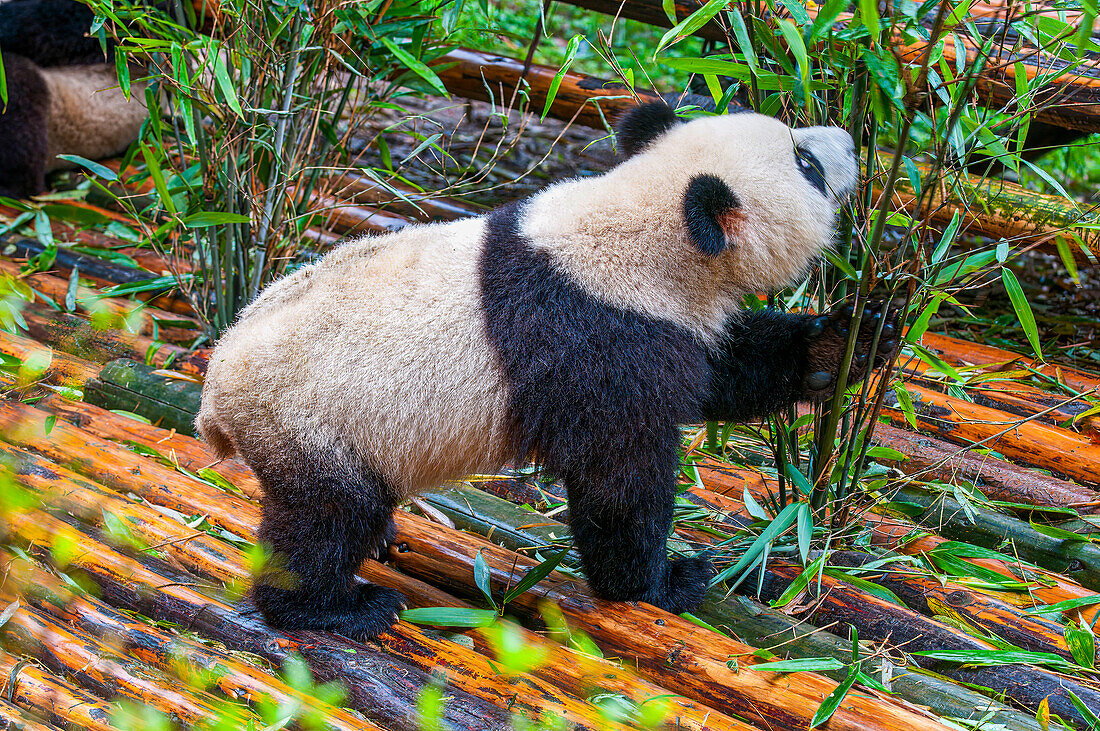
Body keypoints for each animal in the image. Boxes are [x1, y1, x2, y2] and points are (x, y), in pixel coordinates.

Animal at [200, 102, 893, 637]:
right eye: (806, 166)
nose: (849, 141)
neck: (642, 226)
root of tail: (216, 399)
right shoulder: (598, 335)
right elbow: (617, 474)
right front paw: (664, 581)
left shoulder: (668, 317)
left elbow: (725, 370)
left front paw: (849, 341)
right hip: (316, 426)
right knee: (322, 523)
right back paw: (336, 609)